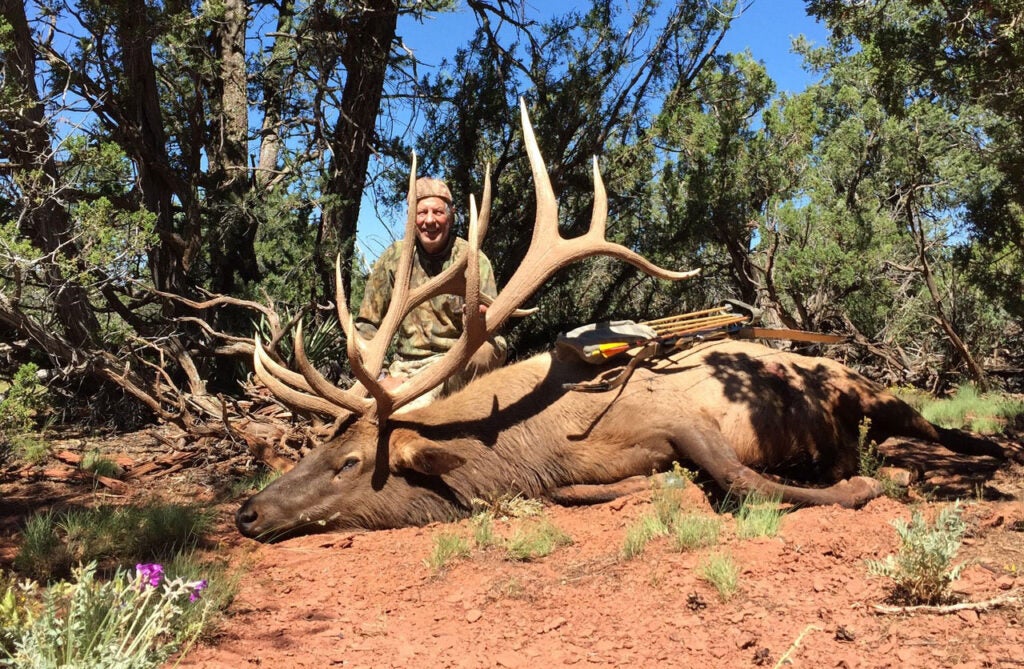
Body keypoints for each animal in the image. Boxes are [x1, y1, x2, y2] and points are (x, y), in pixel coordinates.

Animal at [235, 100, 1011, 536]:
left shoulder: (686, 418)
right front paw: (654, 483)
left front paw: (863, 484)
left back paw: (982, 455)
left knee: (936, 427)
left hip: (868, 388)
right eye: (317, 447)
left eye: (348, 462)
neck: (540, 441)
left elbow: (746, 482)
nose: (247, 511)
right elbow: (608, 487)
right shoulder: (578, 470)